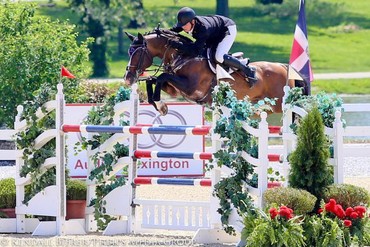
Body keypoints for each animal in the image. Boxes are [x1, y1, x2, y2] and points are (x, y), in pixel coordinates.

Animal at [123, 28, 308, 115]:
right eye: (128, 52)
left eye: (137, 53)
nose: (128, 78)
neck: (183, 55)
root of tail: (284, 67)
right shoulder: (175, 89)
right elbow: (154, 80)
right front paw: (160, 106)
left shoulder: (191, 88)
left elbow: (162, 76)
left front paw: (160, 104)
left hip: (280, 104)